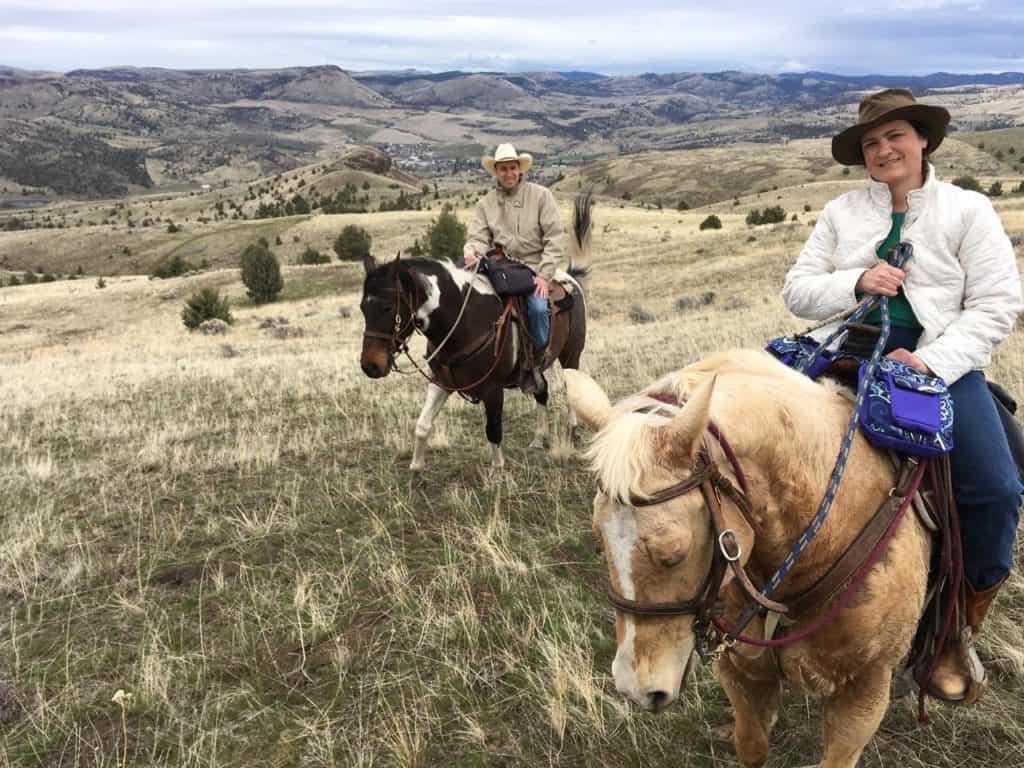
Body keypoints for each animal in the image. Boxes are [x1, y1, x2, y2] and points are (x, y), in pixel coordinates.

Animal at [360, 193, 593, 468]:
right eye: (363, 308)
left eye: (387, 308)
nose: (370, 366)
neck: (463, 322)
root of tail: (569, 276)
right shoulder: (440, 381)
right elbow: (422, 425)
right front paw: (416, 466)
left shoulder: (492, 390)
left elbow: (493, 431)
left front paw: (497, 470)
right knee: (542, 391)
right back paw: (538, 438)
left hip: (571, 355)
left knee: (571, 390)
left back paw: (572, 431)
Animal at [569, 348, 937, 768]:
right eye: (600, 542)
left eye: (674, 554)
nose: (634, 689)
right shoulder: (742, 673)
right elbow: (752, 745)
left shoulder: (864, 693)